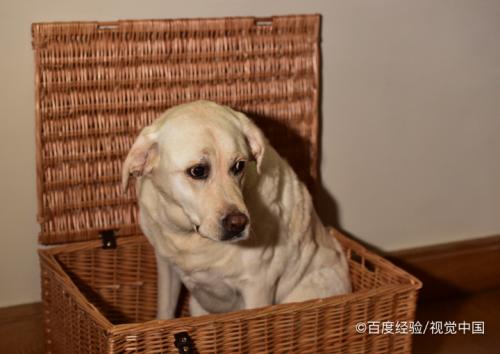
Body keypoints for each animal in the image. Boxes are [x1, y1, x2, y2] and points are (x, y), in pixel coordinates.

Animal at [122, 99, 350, 318]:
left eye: (239, 166)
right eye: (198, 171)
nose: (238, 224)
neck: (190, 239)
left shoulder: (258, 287)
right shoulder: (166, 268)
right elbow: (165, 313)